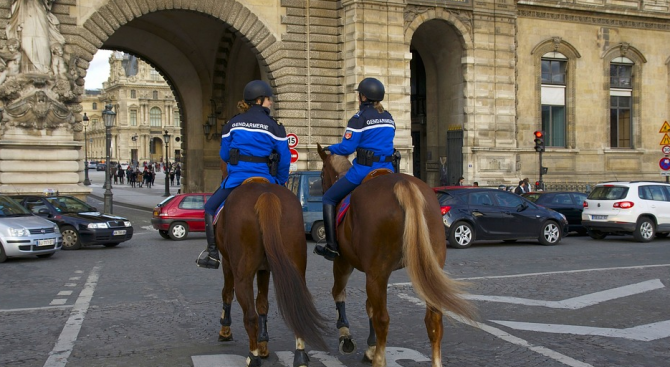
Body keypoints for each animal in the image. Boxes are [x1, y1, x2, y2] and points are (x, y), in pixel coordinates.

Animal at [215, 180, 328, 366]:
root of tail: (266, 195)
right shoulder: (264, 269)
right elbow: (262, 304)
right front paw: (263, 345)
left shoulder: (227, 263)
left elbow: (227, 294)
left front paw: (225, 330)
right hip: (296, 268)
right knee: (296, 307)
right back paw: (300, 355)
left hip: (242, 276)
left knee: (250, 316)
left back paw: (253, 356)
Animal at [316, 144, 478, 367]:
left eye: (321, 173)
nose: (322, 189)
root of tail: (404, 185)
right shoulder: (372, 272)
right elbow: (368, 306)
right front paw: (370, 346)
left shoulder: (344, 261)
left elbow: (339, 293)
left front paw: (346, 336)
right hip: (426, 268)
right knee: (434, 320)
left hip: (374, 273)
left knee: (383, 319)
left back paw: (379, 359)